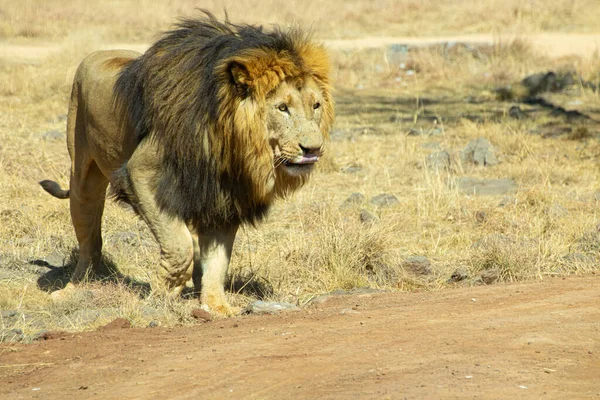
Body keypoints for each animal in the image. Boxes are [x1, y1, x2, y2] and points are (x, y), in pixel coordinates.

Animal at [39, 11, 336, 316]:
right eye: (282, 108)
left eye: (316, 106)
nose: (313, 149)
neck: (228, 143)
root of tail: (99, 53)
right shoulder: (141, 173)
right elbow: (178, 245)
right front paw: (164, 293)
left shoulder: (224, 198)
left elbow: (217, 261)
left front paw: (217, 307)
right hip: (82, 176)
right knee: (89, 241)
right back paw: (75, 289)